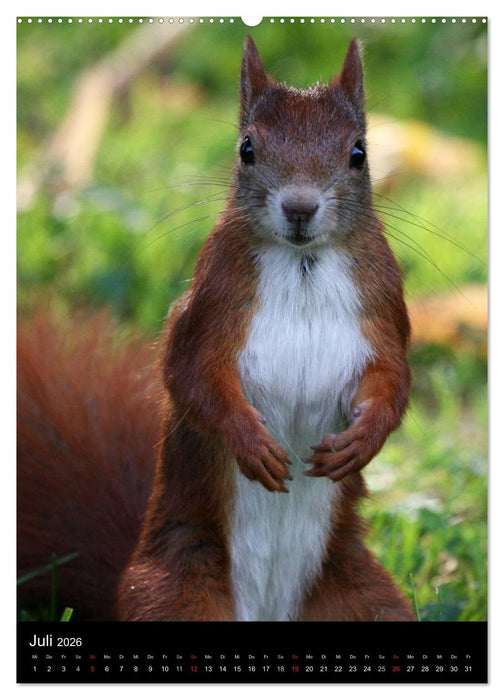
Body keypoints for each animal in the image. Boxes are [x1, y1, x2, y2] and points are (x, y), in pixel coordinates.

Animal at [17, 37, 413, 622]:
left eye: (358, 153)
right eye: (247, 149)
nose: (299, 207)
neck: (304, 265)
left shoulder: (384, 308)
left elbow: (394, 378)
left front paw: (362, 440)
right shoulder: (209, 305)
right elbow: (189, 377)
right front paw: (250, 443)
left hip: (361, 594)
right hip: (179, 587)